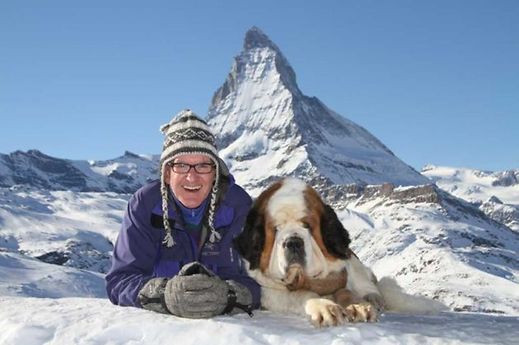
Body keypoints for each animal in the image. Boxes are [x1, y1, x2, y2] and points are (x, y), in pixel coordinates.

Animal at [236, 177, 386, 326]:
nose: (293, 242)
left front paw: (357, 305)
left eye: (307, 225)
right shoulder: (268, 291)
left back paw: (373, 297)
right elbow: (301, 294)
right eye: (277, 228)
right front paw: (325, 307)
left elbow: (344, 291)